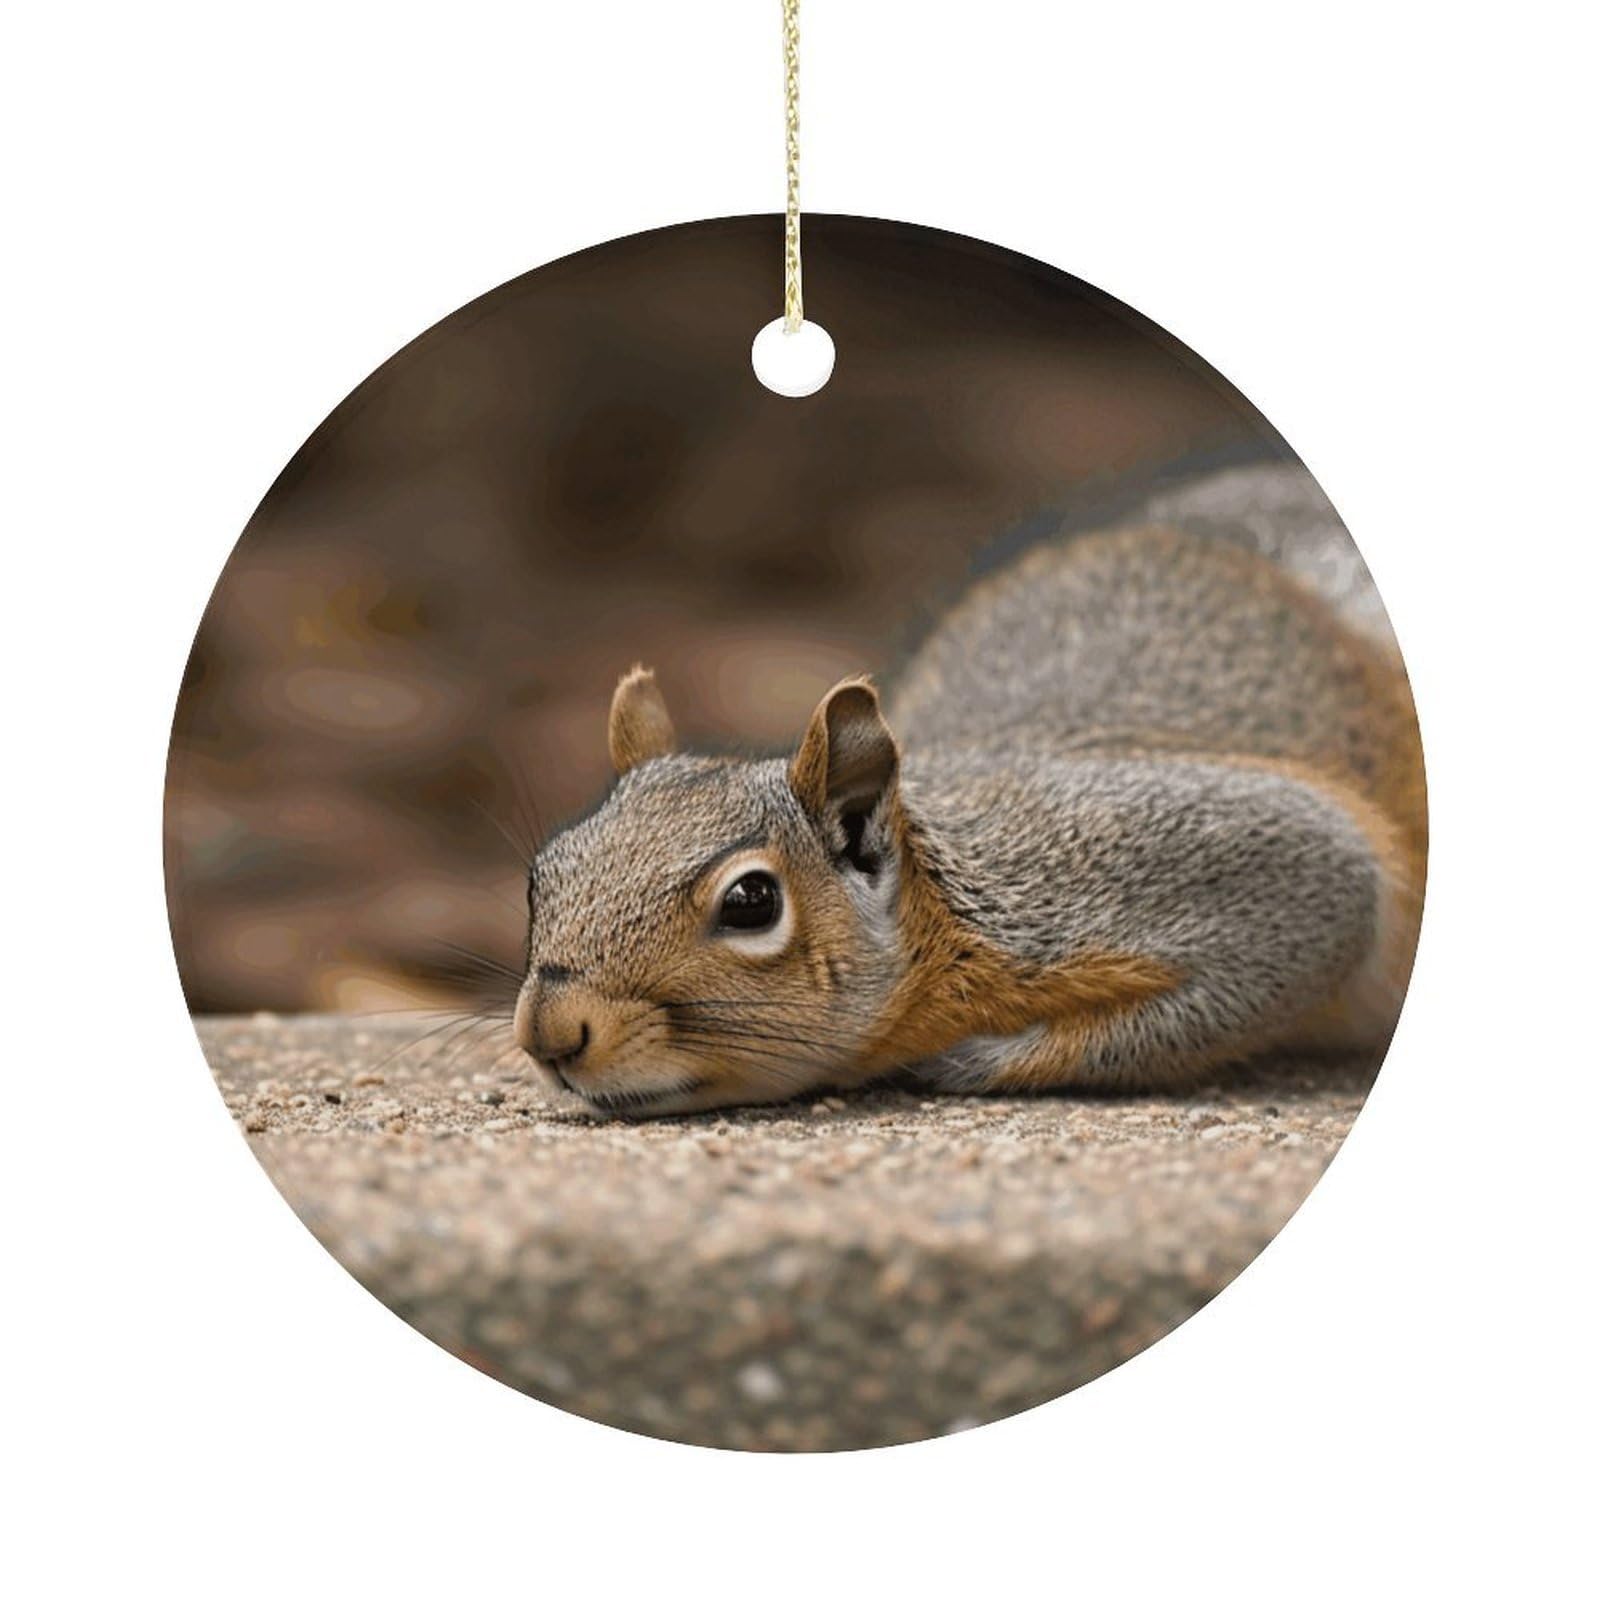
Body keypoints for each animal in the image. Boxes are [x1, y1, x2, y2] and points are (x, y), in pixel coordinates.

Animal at [512, 461, 1426, 1117]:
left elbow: (1305, 927)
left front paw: (972, 1061)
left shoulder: (1195, 860)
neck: (948, 914)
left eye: (751, 902)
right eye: (541, 876)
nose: (550, 1033)